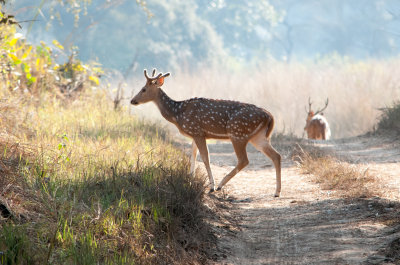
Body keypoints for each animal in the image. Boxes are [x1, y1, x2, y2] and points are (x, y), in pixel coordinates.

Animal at [131, 68, 282, 196]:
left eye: (143, 89)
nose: (133, 100)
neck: (177, 114)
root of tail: (270, 116)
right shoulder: (194, 134)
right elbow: (193, 155)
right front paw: (190, 178)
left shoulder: (197, 131)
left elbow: (205, 157)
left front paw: (211, 186)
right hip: (258, 137)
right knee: (276, 155)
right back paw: (277, 192)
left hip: (238, 133)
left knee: (244, 160)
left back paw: (220, 185)